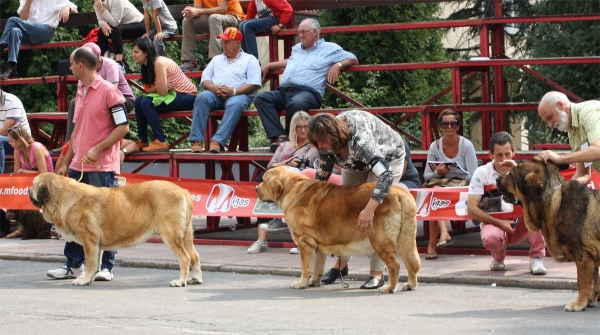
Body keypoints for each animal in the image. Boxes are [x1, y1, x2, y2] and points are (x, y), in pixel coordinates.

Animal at [28, 173, 202, 288]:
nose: (28, 189)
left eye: (33, 184)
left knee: (185, 258)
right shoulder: (96, 244)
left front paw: (83, 280)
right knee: (195, 256)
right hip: (186, 236)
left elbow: (90, 262)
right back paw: (195, 279)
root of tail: (183, 191)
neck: (63, 196)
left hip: (170, 235)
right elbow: (95, 262)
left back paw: (180, 281)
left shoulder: (88, 240)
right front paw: (90, 278)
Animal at [256, 167, 422, 292]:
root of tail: (402, 192)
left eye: (263, 180)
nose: (256, 188)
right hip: (404, 240)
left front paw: (301, 283)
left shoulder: (305, 243)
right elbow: (317, 266)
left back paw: (389, 288)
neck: (291, 188)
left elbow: (306, 267)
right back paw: (410, 285)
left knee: (395, 265)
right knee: (411, 262)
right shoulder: (317, 246)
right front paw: (314, 282)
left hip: (380, 240)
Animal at [496, 158, 600, 312]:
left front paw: (578, 304)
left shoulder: (583, 254)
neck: (552, 197)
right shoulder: (591, 255)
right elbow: (593, 280)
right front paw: (590, 300)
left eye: (511, 174)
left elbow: (582, 282)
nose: (497, 178)